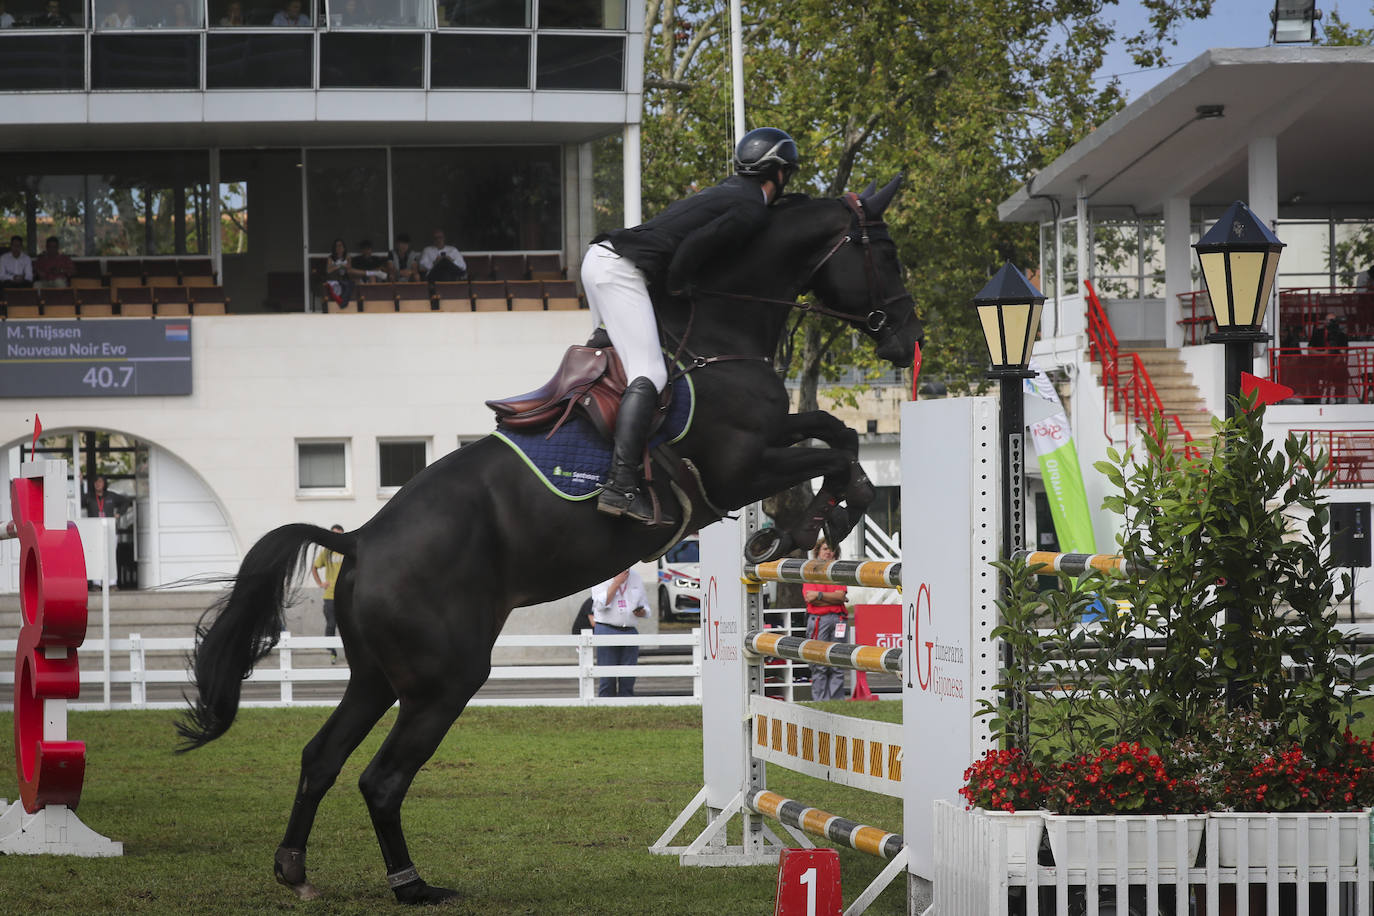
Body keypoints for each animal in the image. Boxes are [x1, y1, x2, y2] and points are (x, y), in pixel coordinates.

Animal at [174, 175, 923, 906]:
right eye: (885, 253)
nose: (907, 341)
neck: (717, 334)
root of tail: (359, 541)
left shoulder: (768, 443)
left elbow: (834, 432)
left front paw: (816, 517)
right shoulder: (740, 468)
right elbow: (834, 450)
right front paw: (805, 526)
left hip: (376, 677)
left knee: (321, 758)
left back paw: (295, 868)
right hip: (445, 680)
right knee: (380, 779)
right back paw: (413, 886)